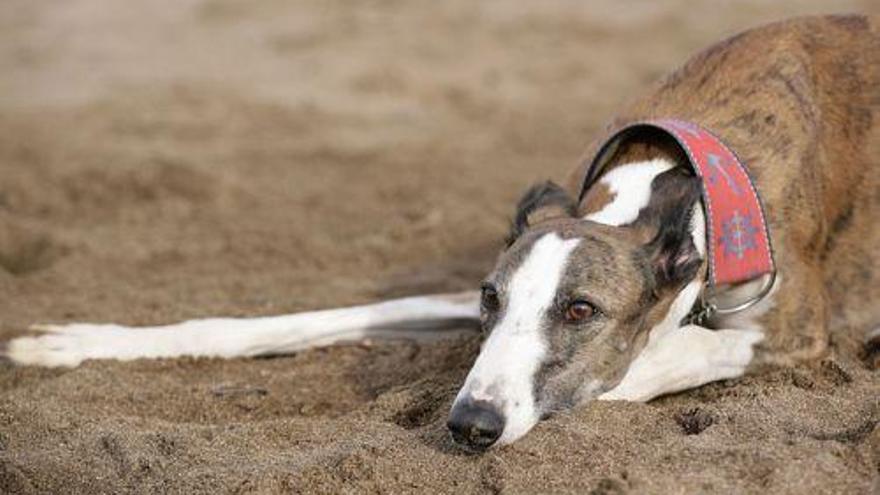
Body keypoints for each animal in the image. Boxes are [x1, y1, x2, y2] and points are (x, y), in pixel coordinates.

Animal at [3, 15, 876, 452]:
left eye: (582, 310)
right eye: (493, 299)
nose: (469, 426)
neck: (683, 174)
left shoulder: (794, 331)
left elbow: (634, 368)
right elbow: (299, 317)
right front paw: (72, 343)